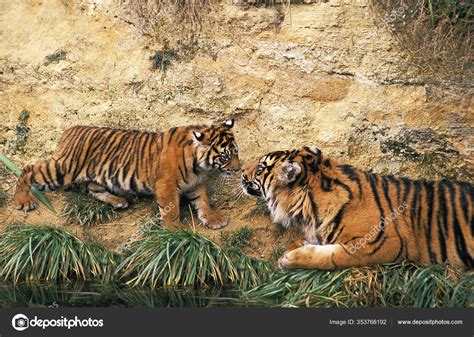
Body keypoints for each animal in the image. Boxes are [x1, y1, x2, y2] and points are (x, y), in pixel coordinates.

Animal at [14, 119, 241, 227]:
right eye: (225, 156)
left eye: (236, 153)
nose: (238, 169)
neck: (198, 164)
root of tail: (71, 129)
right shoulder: (166, 186)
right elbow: (171, 211)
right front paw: (174, 232)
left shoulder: (195, 183)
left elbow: (203, 201)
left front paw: (212, 219)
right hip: (63, 169)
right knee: (29, 169)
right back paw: (23, 201)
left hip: (96, 174)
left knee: (91, 188)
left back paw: (118, 201)